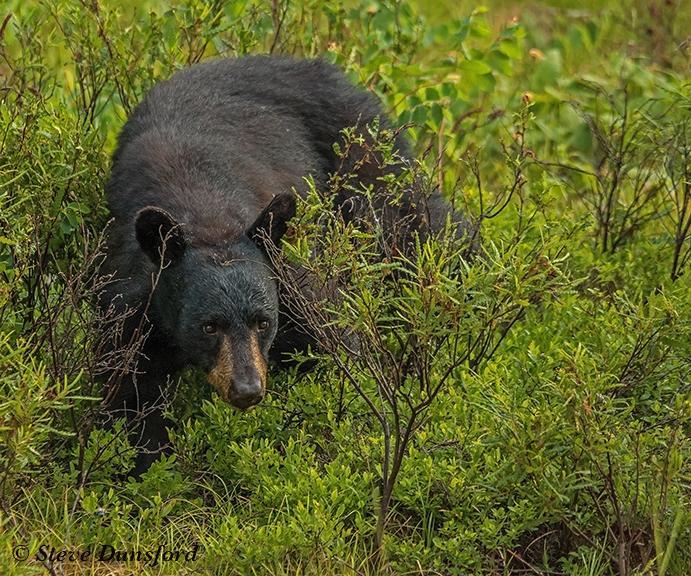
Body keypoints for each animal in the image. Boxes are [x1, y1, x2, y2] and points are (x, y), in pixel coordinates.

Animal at [100, 55, 468, 472]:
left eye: (263, 321)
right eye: (208, 326)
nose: (246, 389)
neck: (205, 215)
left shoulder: (292, 282)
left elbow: (332, 350)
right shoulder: (133, 307)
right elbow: (130, 394)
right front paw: (151, 463)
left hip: (365, 155)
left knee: (416, 225)